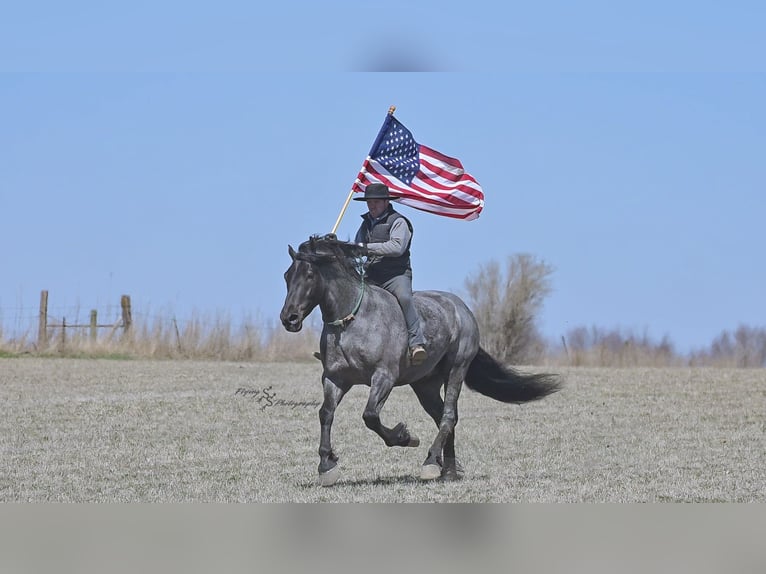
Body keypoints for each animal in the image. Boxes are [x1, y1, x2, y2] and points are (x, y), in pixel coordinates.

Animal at [279, 234, 561, 486]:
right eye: (287, 275)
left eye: (309, 275)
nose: (289, 318)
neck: (353, 321)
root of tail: (462, 308)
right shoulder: (335, 379)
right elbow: (325, 414)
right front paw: (326, 466)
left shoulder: (384, 377)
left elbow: (370, 415)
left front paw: (405, 437)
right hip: (425, 385)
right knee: (443, 417)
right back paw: (448, 469)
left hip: (456, 370)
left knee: (448, 416)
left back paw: (431, 462)